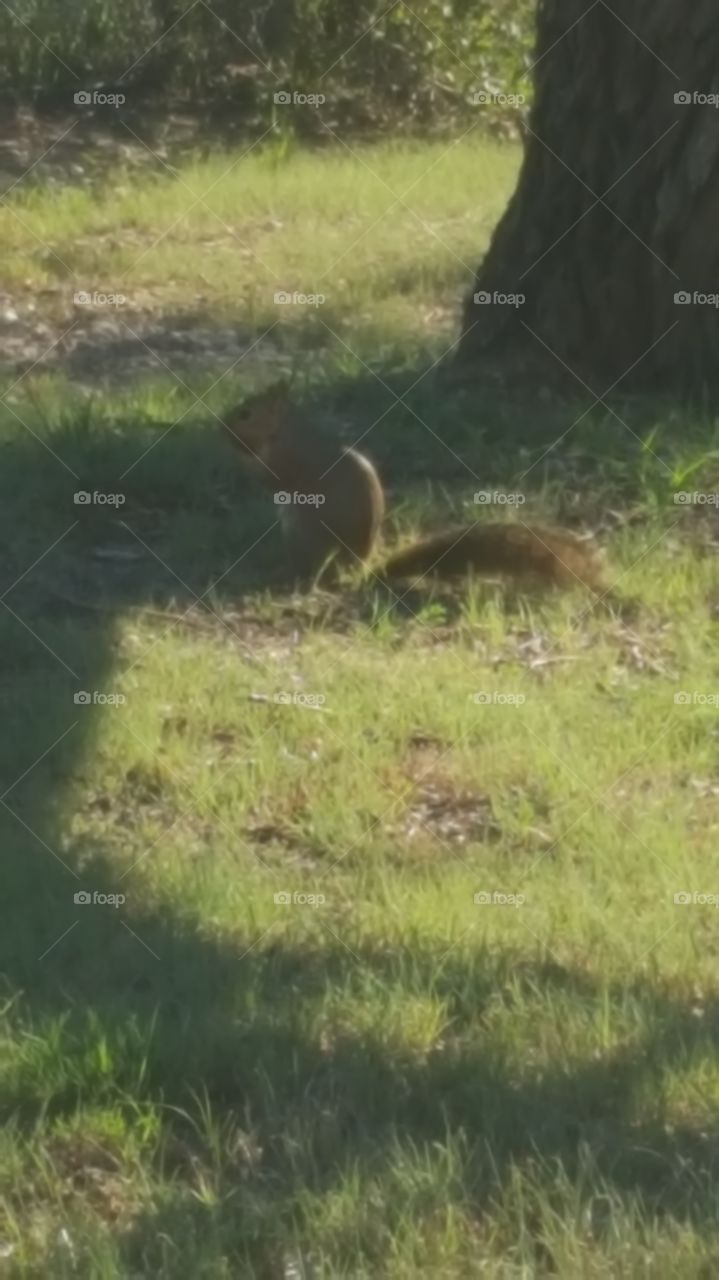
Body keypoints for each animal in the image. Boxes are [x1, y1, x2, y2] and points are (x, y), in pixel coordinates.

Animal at [223, 384, 607, 595]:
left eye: (245, 413)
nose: (223, 426)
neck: (286, 429)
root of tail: (356, 569)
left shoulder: (290, 458)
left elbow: (271, 478)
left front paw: (238, 452)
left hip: (302, 533)